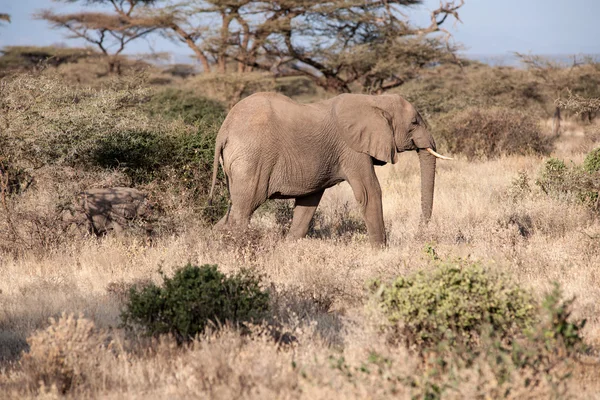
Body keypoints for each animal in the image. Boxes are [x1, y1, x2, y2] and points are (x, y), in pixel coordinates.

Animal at [209, 93, 448, 247]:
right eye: (414, 123)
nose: (421, 231)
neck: (375, 100)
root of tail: (224, 130)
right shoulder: (352, 149)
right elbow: (370, 193)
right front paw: (381, 251)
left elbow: (309, 201)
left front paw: (289, 247)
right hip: (252, 159)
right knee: (245, 208)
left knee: (234, 209)